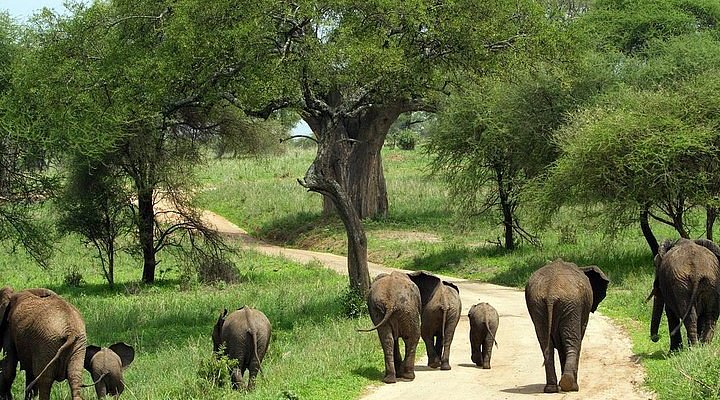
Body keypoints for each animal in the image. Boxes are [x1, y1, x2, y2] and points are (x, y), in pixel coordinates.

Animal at [525, 259, 609, 393]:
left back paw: (552, 388)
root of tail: (551, 294)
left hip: (538, 305)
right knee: (573, 341)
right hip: (571, 304)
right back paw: (572, 386)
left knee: (545, 344)